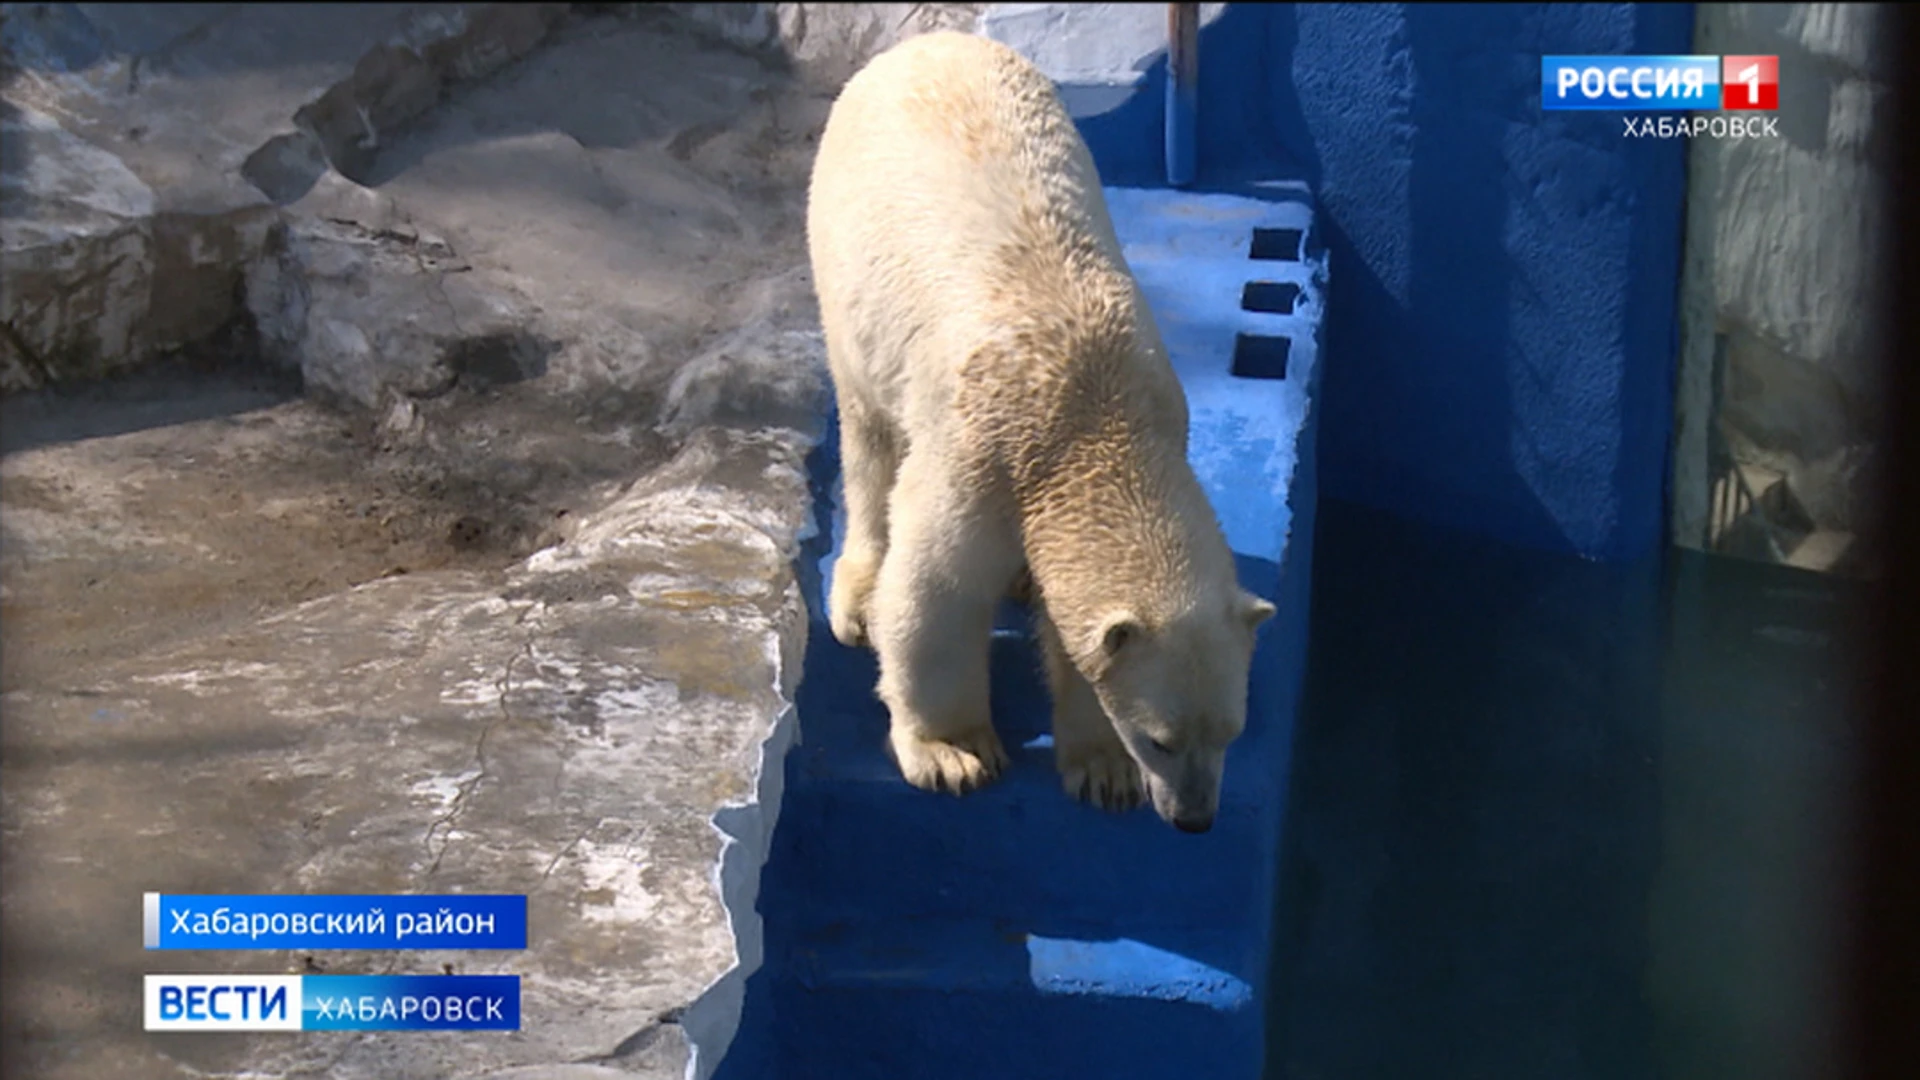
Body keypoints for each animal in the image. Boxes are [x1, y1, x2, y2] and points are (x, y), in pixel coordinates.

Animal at [806, 29, 1274, 826]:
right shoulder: (980, 456)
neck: (1092, 417)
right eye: (1161, 740)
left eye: (1230, 733)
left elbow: (1074, 634)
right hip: (845, 269)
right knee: (869, 442)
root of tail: (927, 40)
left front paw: (1102, 772)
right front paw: (953, 754)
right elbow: (934, 591)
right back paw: (858, 596)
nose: (1194, 819)